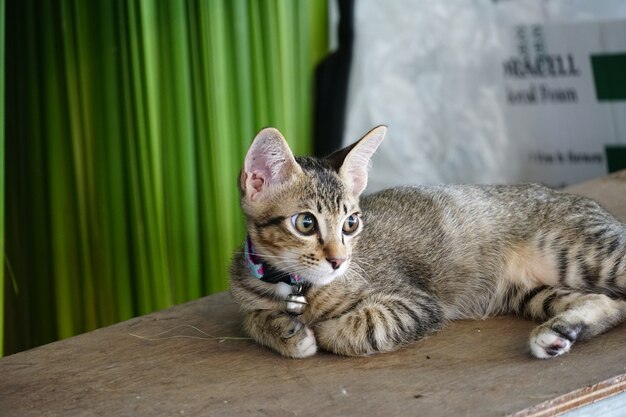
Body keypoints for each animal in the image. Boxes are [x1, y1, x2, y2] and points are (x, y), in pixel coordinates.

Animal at [229, 126, 624, 358]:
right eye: (306, 223)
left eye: (350, 223)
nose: (338, 261)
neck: (294, 286)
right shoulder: (247, 297)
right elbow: (251, 319)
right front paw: (285, 331)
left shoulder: (417, 303)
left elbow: (359, 327)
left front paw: (320, 329)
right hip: (532, 291)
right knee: (611, 304)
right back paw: (558, 333)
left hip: (586, 253)